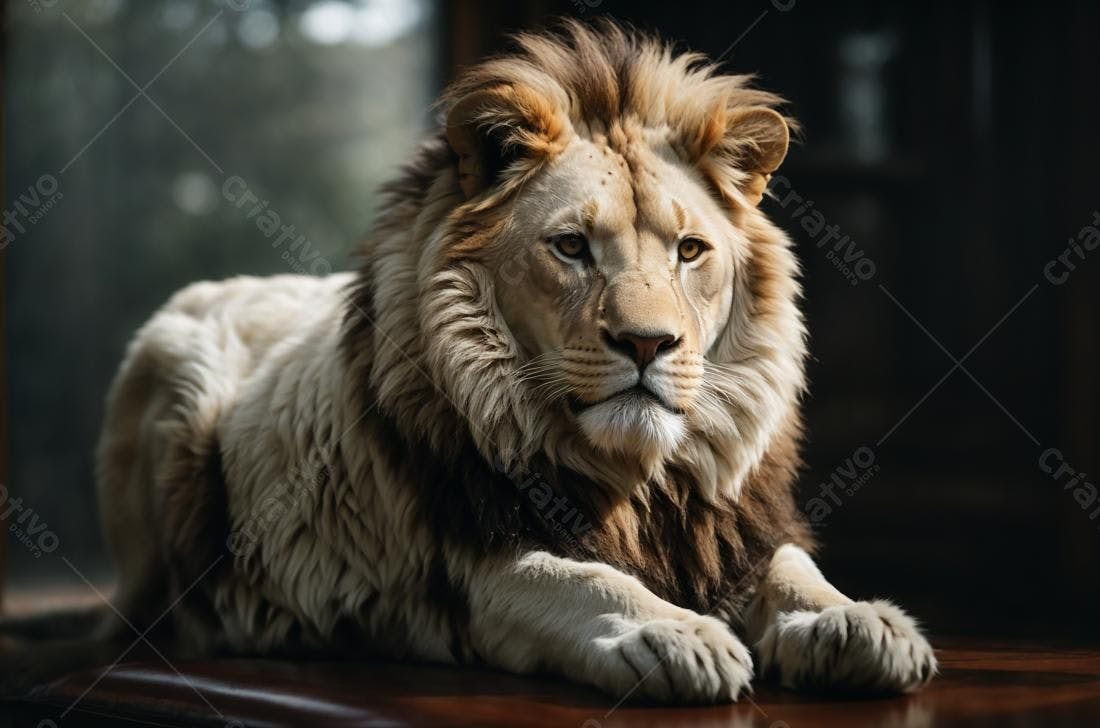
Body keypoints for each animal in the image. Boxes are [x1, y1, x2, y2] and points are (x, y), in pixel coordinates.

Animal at [77, 21, 935, 703]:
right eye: (572, 247)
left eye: (690, 251)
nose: (648, 343)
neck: (637, 479)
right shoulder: (471, 568)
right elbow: (582, 579)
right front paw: (675, 636)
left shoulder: (731, 528)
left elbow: (793, 570)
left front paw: (859, 623)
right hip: (175, 382)